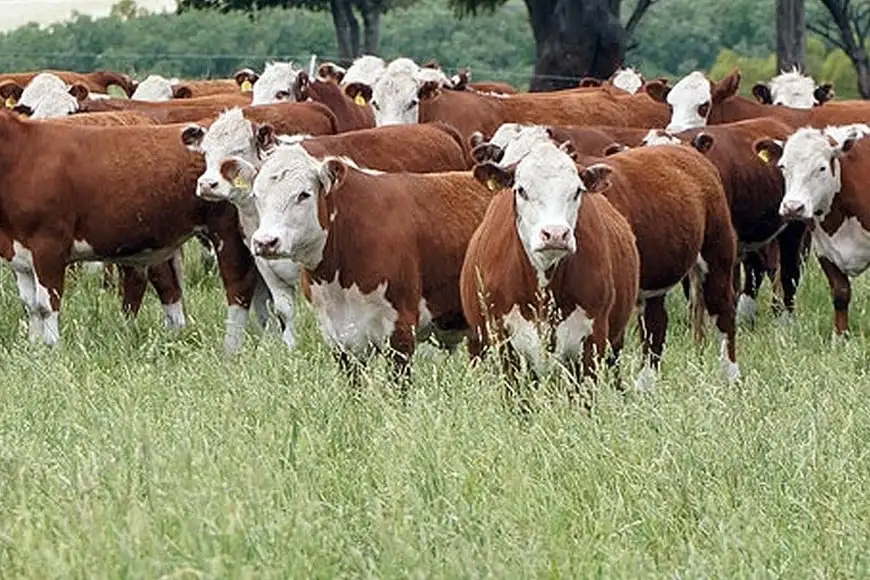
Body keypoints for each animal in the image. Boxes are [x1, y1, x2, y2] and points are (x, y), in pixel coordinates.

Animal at [0, 110, 259, 352]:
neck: (21, 156)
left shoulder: (49, 246)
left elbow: (47, 304)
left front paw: (53, 347)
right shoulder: (19, 254)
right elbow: (30, 305)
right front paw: (35, 347)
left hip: (228, 231)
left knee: (238, 286)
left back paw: (231, 346)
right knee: (170, 288)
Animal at [461, 141, 640, 406]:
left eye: (577, 191)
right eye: (521, 190)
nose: (555, 234)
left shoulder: (594, 339)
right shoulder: (503, 340)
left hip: (614, 344)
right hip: (478, 342)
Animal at [471, 123, 740, 389]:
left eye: (575, 191)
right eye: (520, 188)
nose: (554, 233)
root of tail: (689, 152)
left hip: (718, 256)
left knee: (724, 313)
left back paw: (730, 378)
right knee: (656, 325)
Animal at [754, 123, 870, 336]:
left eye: (821, 168)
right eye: (783, 166)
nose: (793, 207)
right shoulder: (824, 251)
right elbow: (840, 293)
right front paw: (840, 336)